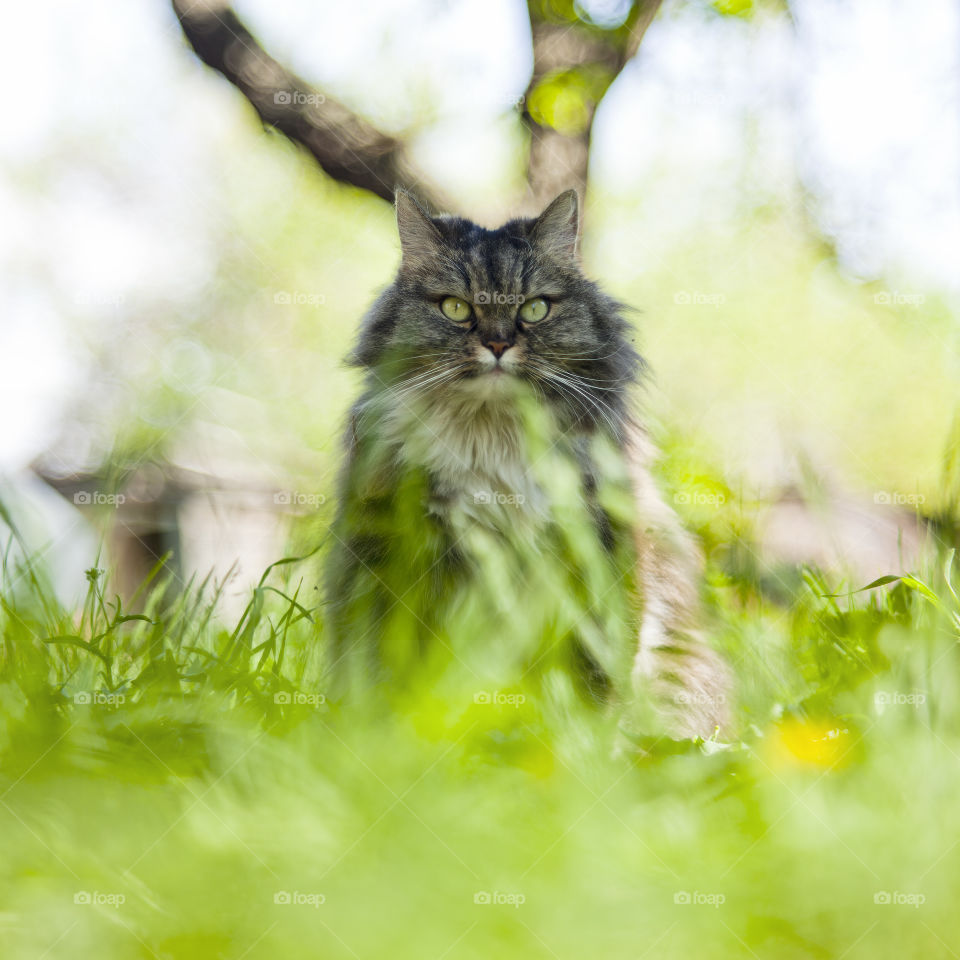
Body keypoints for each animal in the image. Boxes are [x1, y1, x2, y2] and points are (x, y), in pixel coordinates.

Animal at [326, 189, 732, 744]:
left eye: (535, 309)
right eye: (456, 308)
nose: (498, 344)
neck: (493, 444)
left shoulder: (598, 554)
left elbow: (594, 677)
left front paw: (581, 748)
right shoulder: (388, 554)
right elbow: (385, 669)